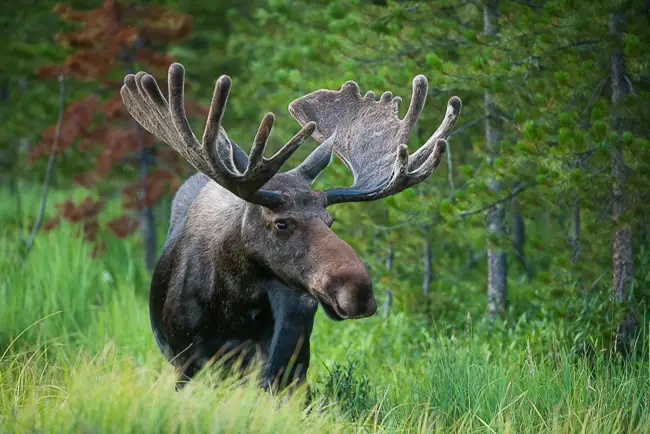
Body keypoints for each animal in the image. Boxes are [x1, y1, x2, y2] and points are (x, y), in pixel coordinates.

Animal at [120, 63, 461, 392]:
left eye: (330, 220)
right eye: (281, 223)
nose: (359, 291)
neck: (232, 304)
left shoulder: (278, 365)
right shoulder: (186, 362)